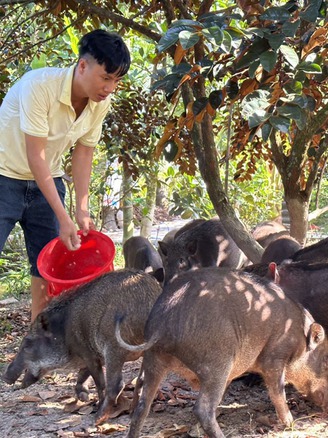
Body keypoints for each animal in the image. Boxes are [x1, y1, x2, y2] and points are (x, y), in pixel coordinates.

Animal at [116, 266, 328, 438]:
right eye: (325, 361)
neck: (300, 339)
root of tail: (163, 322)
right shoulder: (275, 357)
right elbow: (277, 391)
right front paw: (291, 423)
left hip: (153, 360)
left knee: (142, 407)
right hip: (216, 362)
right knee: (202, 409)